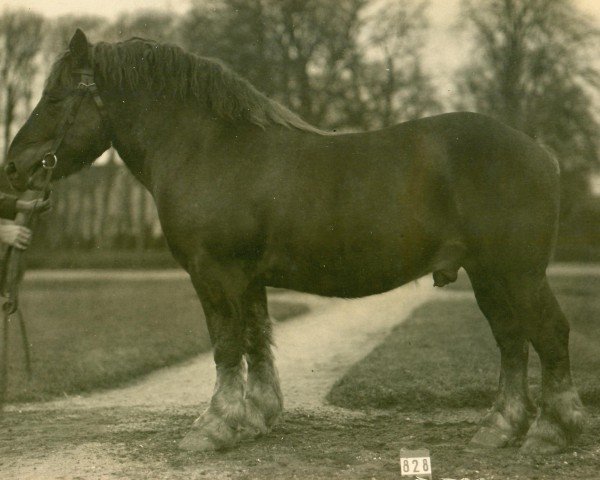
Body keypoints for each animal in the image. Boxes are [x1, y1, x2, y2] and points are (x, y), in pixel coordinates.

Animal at [4, 30, 584, 454]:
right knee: (512, 341)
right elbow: (258, 341)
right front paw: (257, 418)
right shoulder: (249, 278)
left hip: (518, 273)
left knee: (550, 334)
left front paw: (214, 426)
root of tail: (540, 152)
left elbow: (226, 344)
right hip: (489, 276)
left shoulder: (214, 273)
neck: (211, 148)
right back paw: (500, 428)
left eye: (55, 96)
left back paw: (552, 430)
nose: (13, 167)